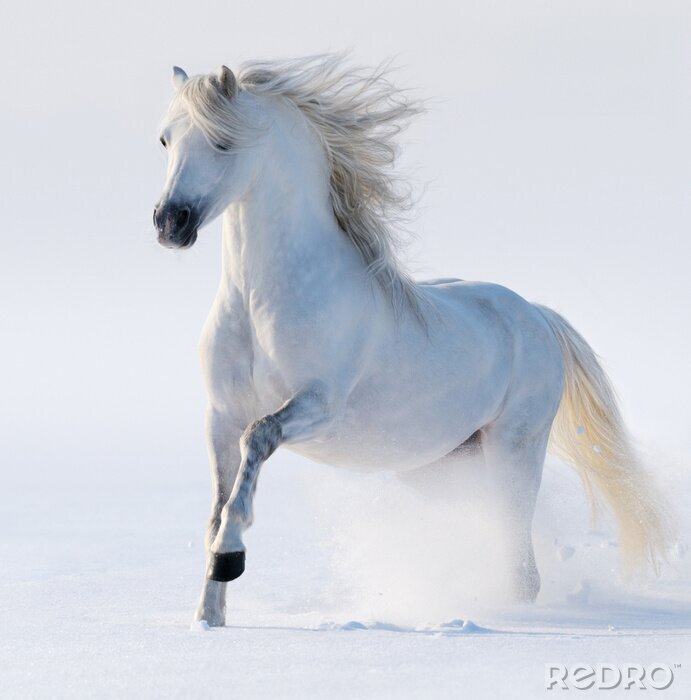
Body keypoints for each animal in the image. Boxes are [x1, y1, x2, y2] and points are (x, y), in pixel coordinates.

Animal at [153, 55, 671, 627]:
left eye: (223, 142)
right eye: (165, 139)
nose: (169, 222)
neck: (259, 303)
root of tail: (536, 315)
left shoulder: (318, 405)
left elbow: (257, 441)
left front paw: (230, 557)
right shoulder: (220, 415)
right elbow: (217, 503)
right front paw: (208, 615)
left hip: (514, 450)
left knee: (522, 567)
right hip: (441, 467)